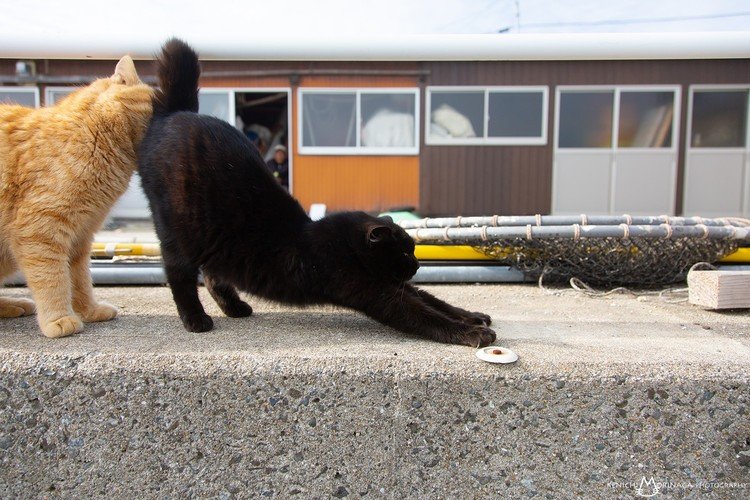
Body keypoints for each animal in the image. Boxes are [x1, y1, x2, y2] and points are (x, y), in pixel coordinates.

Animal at [0, 55, 154, 336]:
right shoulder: (41, 229)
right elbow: (52, 278)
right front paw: (59, 319)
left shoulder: (81, 236)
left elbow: (79, 278)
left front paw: (89, 311)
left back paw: (14, 305)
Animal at [137, 40, 496, 348]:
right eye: (405, 253)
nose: (418, 265)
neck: (341, 245)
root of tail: (177, 112)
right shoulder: (378, 292)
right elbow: (423, 314)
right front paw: (472, 333)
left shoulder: (395, 284)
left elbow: (434, 300)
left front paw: (473, 316)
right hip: (176, 229)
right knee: (179, 275)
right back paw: (196, 319)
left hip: (214, 239)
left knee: (213, 275)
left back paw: (235, 308)